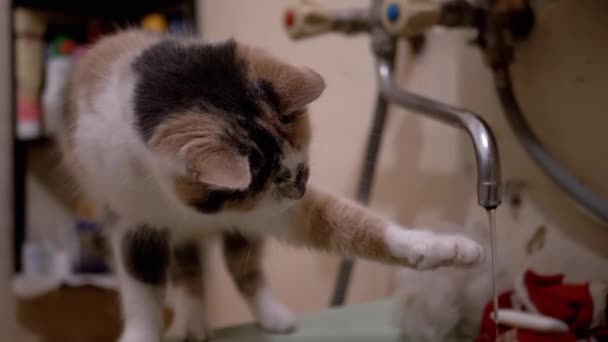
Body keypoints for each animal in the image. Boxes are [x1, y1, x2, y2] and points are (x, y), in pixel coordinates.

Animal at [59, 30, 482, 342]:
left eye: (302, 170)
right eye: (274, 181)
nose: (299, 190)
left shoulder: (271, 214)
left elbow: (358, 225)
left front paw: (447, 248)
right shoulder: (133, 224)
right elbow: (142, 292)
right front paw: (144, 335)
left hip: (239, 236)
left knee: (243, 270)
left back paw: (273, 316)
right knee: (188, 275)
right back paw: (190, 324)